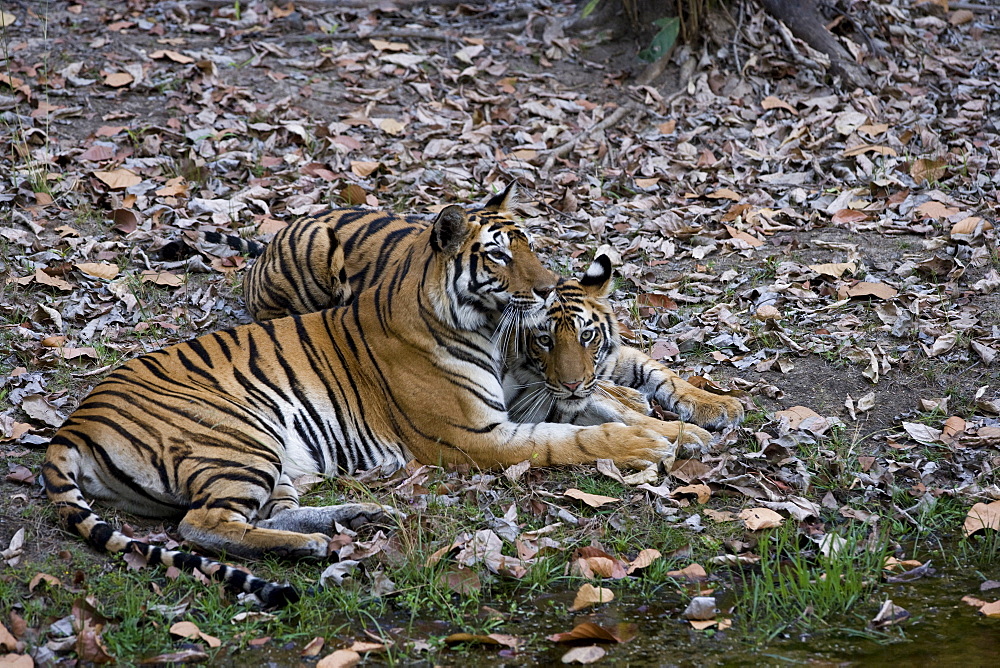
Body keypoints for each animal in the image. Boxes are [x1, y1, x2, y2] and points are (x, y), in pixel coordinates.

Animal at [41, 202, 696, 604]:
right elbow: (572, 438)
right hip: (238, 435)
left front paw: (685, 431)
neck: (485, 331)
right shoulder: (480, 435)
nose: (544, 288)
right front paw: (648, 441)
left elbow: (594, 405)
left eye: (529, 245)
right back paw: (315, 544)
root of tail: (72, 425)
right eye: (497, 255)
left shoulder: (526, 398)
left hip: (269, 455)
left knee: (259, 515)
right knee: (202, 526)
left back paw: (352, 521)